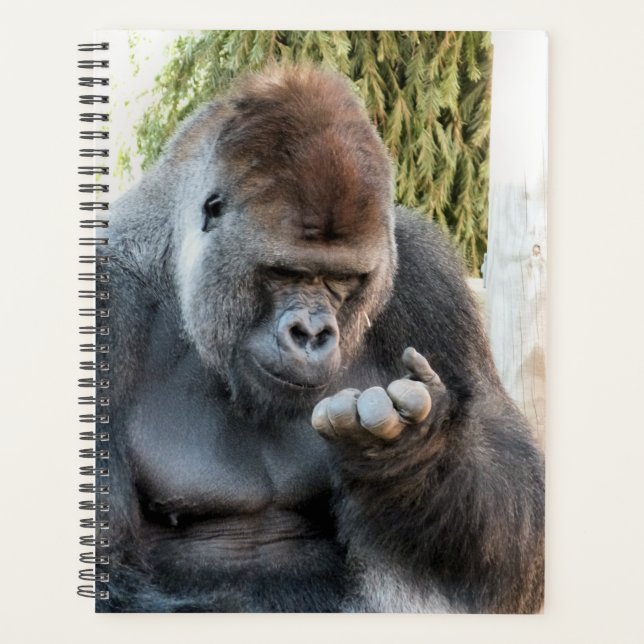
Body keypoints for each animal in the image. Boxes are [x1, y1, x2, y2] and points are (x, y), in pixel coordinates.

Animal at [95, 64, 544, 613]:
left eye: (342, 280)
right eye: (284, 272)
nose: (311, 333)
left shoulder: (426, 275)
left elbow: (517, 546)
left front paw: (410, 456)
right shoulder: (109, 299)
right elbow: (109, 571)